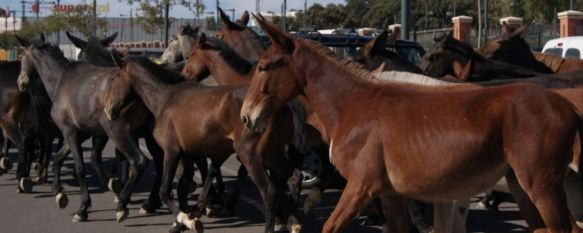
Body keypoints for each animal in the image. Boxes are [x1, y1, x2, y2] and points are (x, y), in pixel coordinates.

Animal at [106, 56, 306, 233]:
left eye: (115, 77)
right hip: (272, 154)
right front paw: (183, 222)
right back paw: (293, 222)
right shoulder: (187, 155)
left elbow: (165, 190)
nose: (109, 110)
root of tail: (284, 106)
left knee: (269, 191)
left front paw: (187, 220)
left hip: (251, 155)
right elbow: (182, 187)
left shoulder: (172, 152)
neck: (164, 100)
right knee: (292, 178)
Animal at [241, 15, 583, 233]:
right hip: (524, 188)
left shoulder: (361, 187)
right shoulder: (390, 194)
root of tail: (566, 106)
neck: (354, 106)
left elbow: (330, 225)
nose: (247, 116)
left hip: (541, 186)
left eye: (264, 66)